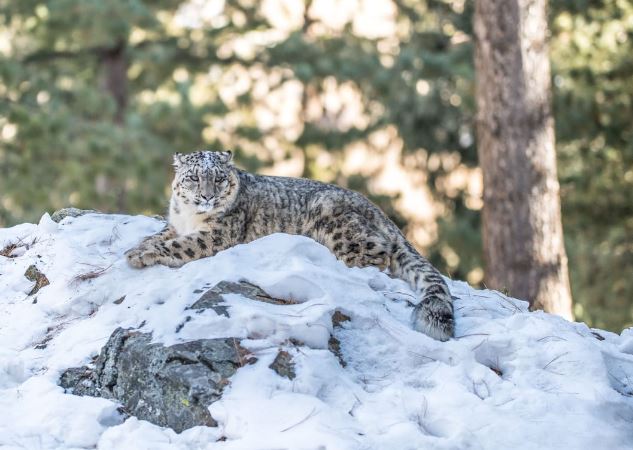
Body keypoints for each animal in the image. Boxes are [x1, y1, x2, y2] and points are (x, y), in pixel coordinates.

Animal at [126, 151, 454, 342]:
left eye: (218, 179)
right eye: (193, 177)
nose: (207, 196)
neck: (190, 216)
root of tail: (381, 214)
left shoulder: (216, 236)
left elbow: (180, 246)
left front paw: (139, 255)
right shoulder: (174, 225)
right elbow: (159, 235)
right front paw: (138, 246)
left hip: (339, 227)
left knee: (378, 255)